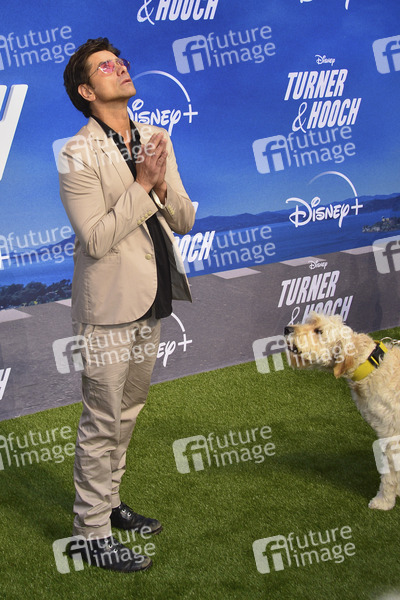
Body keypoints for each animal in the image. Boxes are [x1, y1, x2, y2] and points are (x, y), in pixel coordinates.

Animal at [284, 311, 400, 510]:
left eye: (319, 330)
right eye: (309, 320)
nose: (287, 329)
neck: (373, 366)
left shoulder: (391, 435)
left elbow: (389, 474)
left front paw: (384, 501)